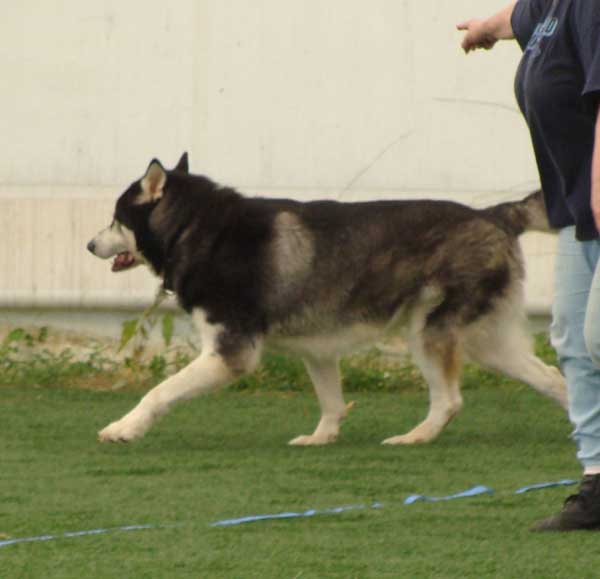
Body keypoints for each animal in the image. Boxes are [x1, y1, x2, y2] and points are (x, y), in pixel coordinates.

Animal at [86, 153, 564, 444]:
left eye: (114, 219)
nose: (89, 245)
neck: (197, 229)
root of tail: (493, 214)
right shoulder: (316, 348)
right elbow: (332, 403)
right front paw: (321, 438)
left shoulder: (229, 354)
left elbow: (159, 392)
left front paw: (123, 428)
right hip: (489, 344)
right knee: (553, 378)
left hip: (427, 334)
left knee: (450, 401)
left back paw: (414, 437)